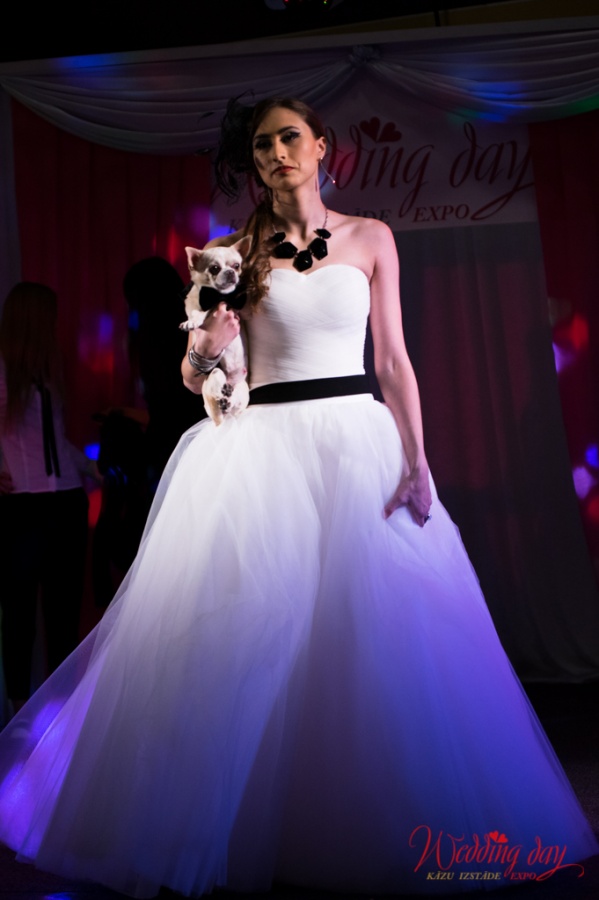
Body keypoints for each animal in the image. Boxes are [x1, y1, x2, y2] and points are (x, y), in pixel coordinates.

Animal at [181, 237, 251, 425]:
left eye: (237, 265)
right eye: (214, 268)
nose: (230, 272)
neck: (220, 296)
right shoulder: (193, 302)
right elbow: (198, 311)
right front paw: (192, 321)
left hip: (242, 391)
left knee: (234, 410)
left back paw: (228, 402)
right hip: (215, 373)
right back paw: (223, 399)